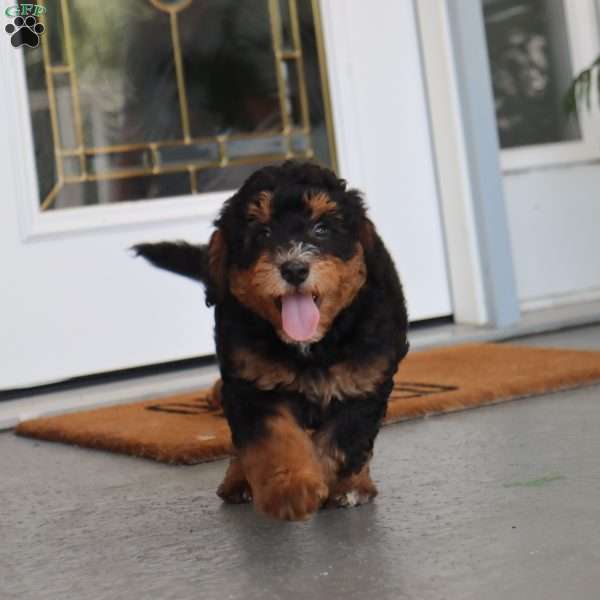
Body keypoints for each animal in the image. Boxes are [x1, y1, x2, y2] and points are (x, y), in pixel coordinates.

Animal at [134, 161, 410, 520]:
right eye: (262, 233)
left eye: (322, 228)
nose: (294, 269)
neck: (312, 347)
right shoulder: (254, 384)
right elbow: (274, 440)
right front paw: (291, 488)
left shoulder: (362, 385)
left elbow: (339, 442)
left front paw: (327, 482)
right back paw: (237, 480)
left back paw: (355, 485)